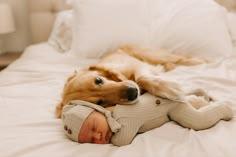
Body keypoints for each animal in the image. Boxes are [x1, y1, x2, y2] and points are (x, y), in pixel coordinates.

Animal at [55, 45, 206, 118]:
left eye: (98, 80)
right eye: (100, 103)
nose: (132, 92)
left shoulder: (138, 66)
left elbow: (141, 78)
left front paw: (171, 89)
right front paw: (196, 101)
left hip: (156, 56)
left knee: (186, 59)